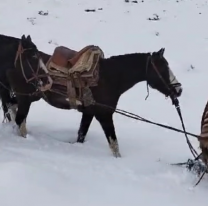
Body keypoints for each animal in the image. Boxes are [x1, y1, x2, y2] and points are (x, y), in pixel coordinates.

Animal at [0, 34, 182, 157]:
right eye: (163, 68)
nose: (179, 89)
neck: (110, 77)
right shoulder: (104, 115)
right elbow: (114, 144)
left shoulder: (89, 113)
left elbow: (81, 135)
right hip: (26, 98)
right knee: (19, 119)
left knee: (12, 110)